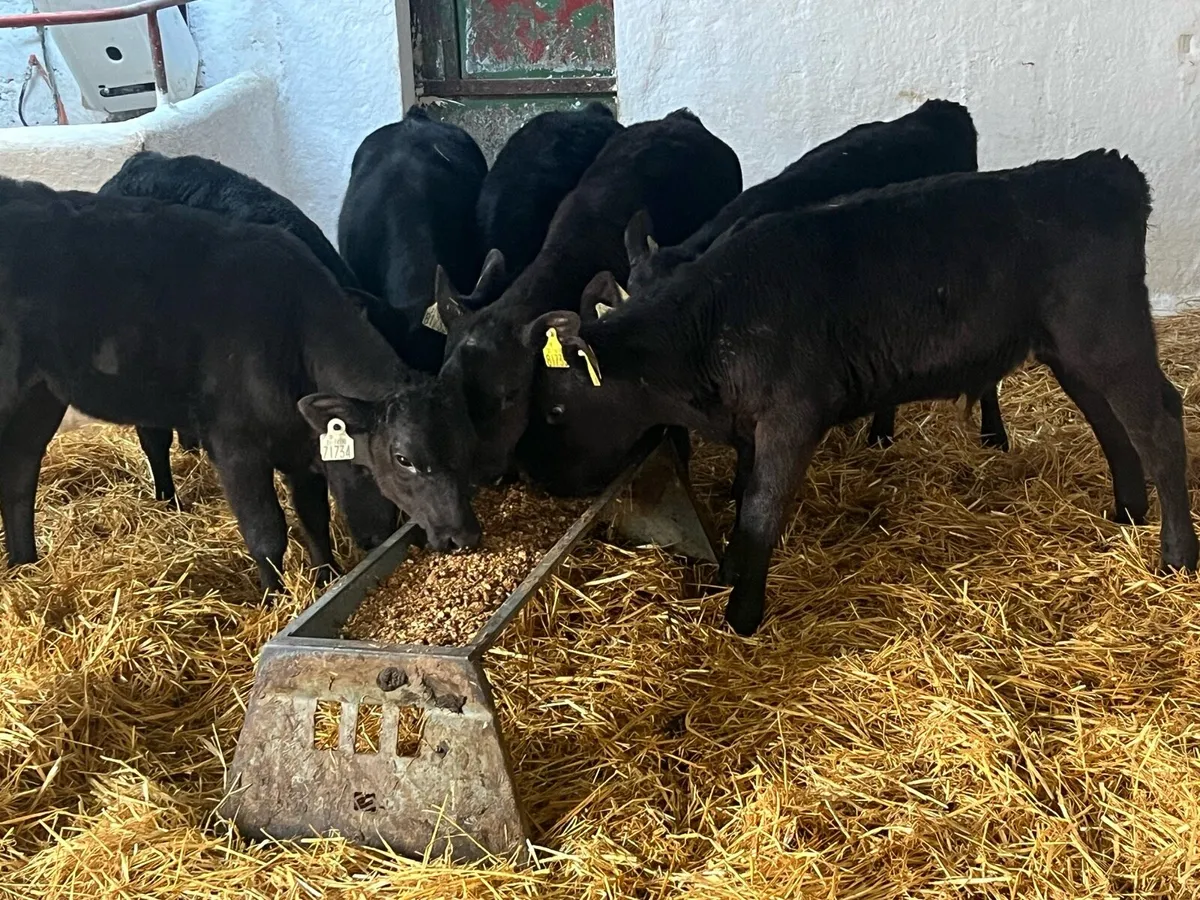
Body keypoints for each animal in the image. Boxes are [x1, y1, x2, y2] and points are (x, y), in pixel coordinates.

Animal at [520, 150, 1197, 636]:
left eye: (555, 409)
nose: (545, 484)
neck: (712, 323)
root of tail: (1103, 168)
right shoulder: (750, 424)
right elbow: (742, 498)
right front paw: (731, 573)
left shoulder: (792, 413)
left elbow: (761, 507)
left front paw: (742, 615)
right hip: (1069, 350)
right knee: (1113, 423)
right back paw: (1128, 511)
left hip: (1108, 336)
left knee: (1159, 421)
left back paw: (1176, 555)